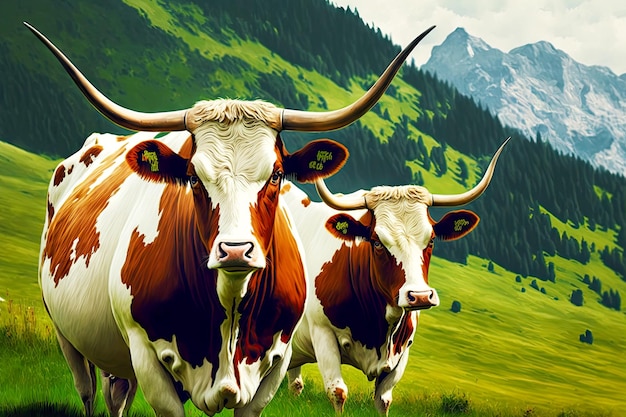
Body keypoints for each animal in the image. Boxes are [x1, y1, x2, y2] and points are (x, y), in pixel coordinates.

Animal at [25, 22, 434, 416]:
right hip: (68, 335)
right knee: (88, 391)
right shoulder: (146, 356)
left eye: (277, 174)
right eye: (193, 176)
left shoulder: (276, 364)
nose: (235, 251)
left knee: (117, 396)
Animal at [282, 139, 508, 412]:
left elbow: (383, 400)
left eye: (432, 239)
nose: (419, 296)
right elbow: (338, 392)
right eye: (377, 241)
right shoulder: (322, 334)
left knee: (294, 380)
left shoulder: (402, 352)